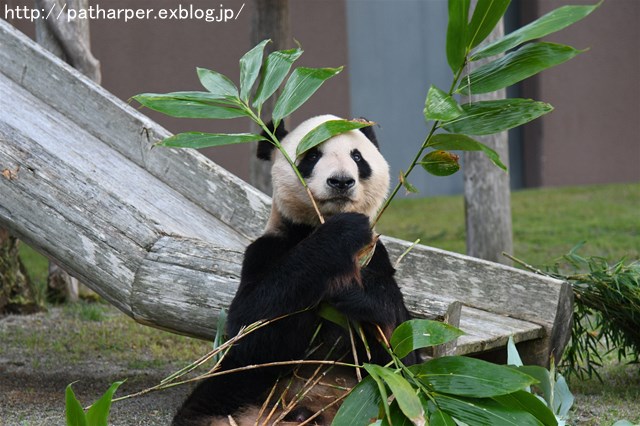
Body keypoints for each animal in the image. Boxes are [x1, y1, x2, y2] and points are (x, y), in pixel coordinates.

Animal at [172, 115, 418, 424]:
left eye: (357, 157)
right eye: (312, 156)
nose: (341, 181)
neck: (317, 223)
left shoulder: (375, 256)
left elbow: (400, 348)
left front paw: (355, 294)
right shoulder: (267, 249)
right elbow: (251, 325)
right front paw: (341, 233)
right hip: (239, 391)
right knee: (212, 397)